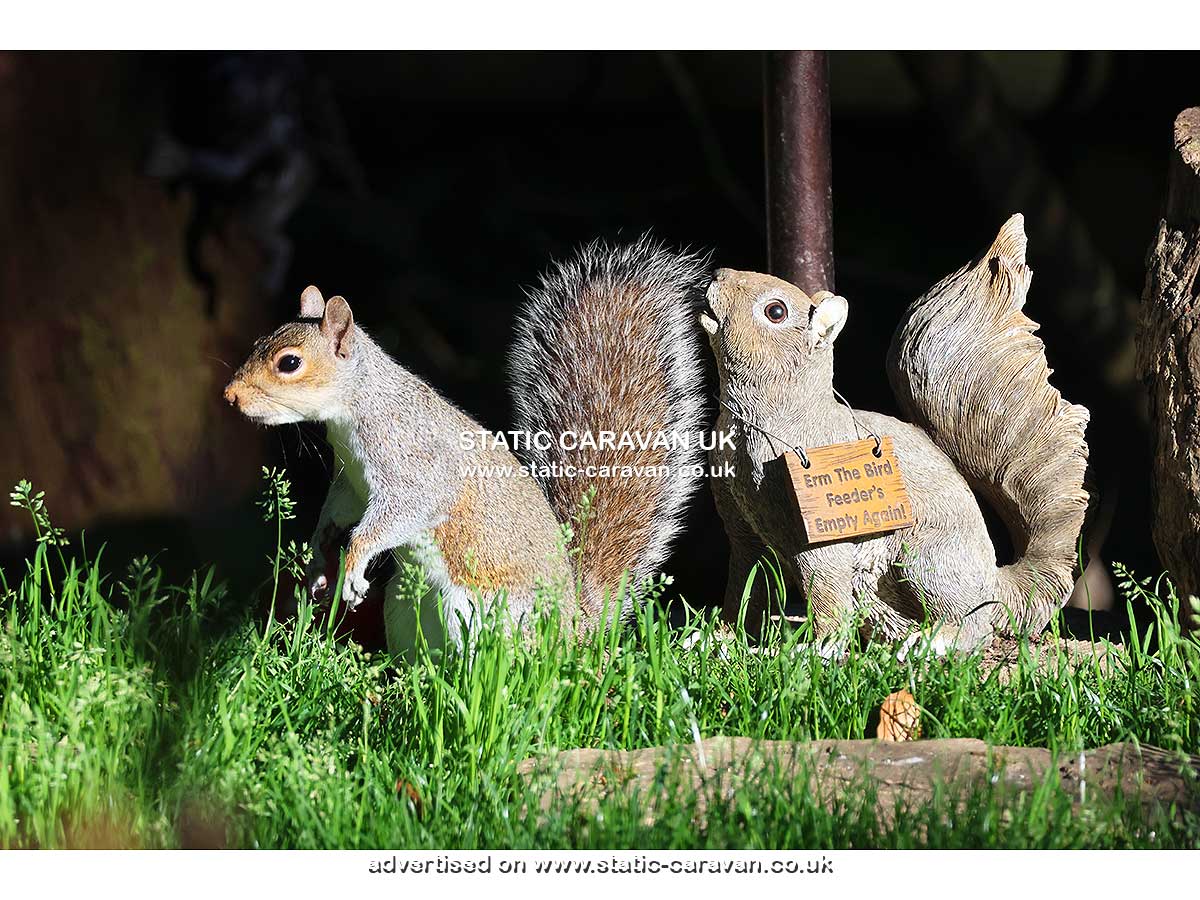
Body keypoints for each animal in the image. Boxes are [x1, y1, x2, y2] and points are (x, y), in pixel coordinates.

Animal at [223, 238, 709, 654]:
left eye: (289, 363)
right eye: (258, 341)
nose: (230, 395)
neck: (358, 407)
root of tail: (573, 633)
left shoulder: (414, 468)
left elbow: (401, 512)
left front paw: (355, 561)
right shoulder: (351, 483)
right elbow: (335, 512)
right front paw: (319, 559)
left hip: (481, 616)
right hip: (404, 605)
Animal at [700, 215, 1091, 652]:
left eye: (775, 311)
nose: (718, 274)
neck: (753, 422)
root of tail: (995, 586)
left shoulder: (821, 539)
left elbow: (826, 594)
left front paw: (819, 649)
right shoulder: (745, 533)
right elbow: (744, 591)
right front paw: (717, 639)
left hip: (927, 561)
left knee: (973, 625)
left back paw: (933, 643)